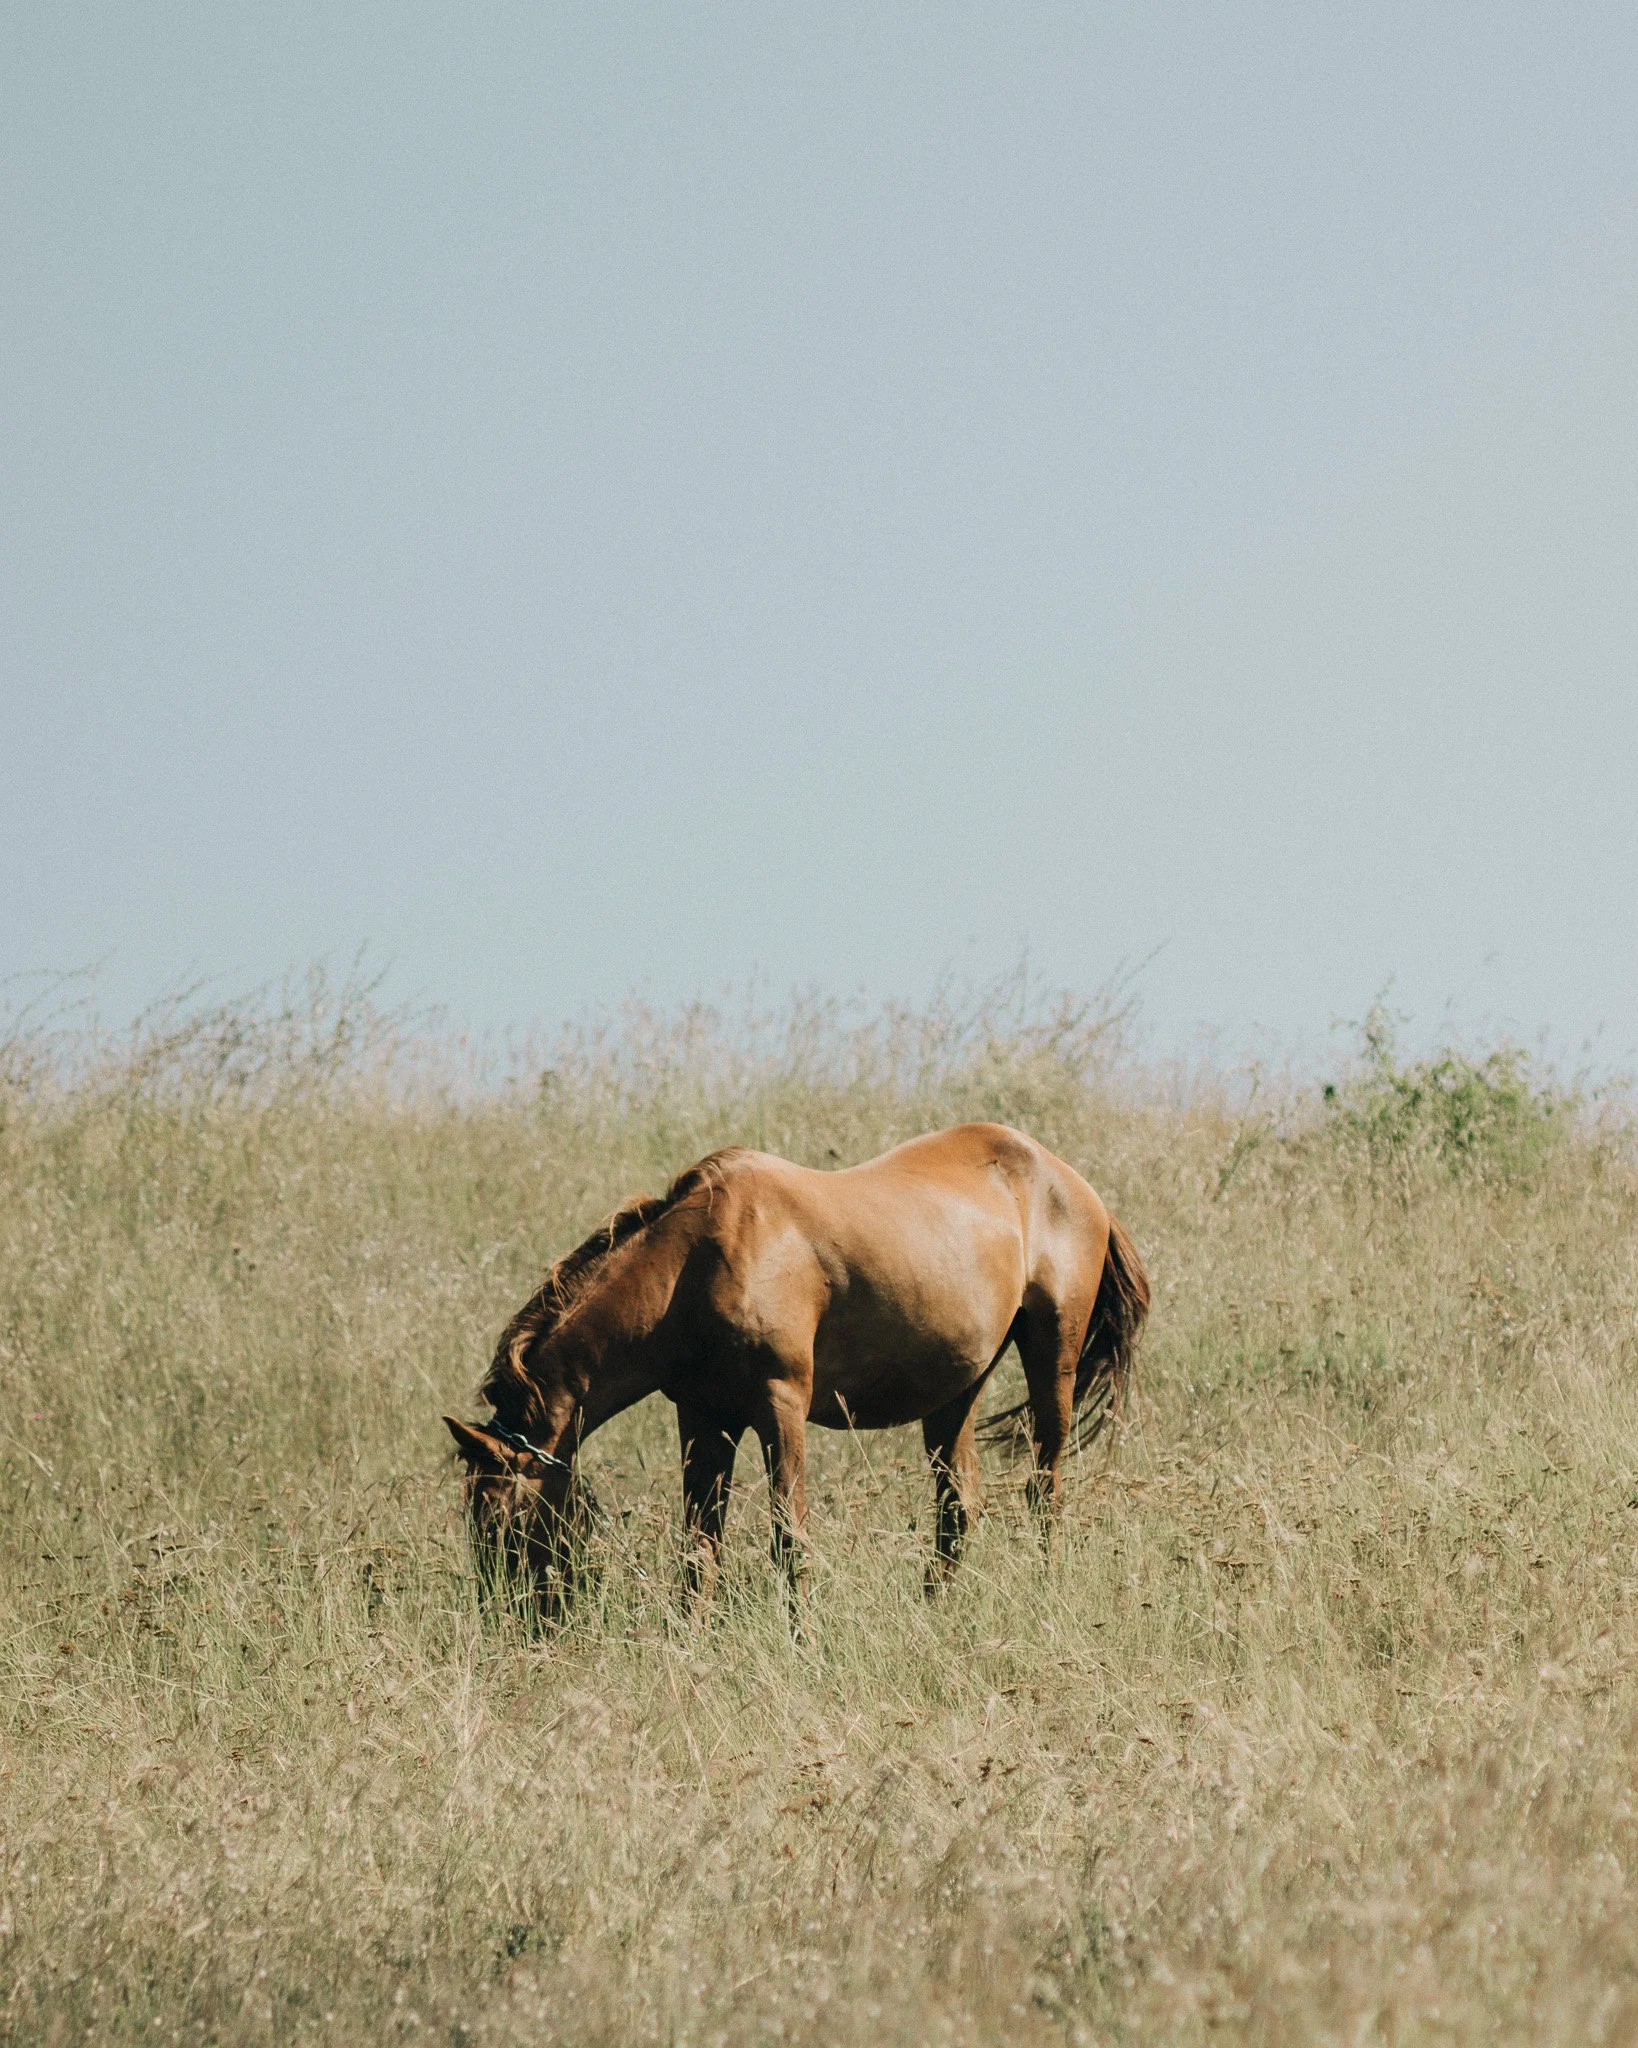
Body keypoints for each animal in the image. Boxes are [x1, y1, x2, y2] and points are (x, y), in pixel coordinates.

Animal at [444, 1121, 1149, 1614]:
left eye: (502, 1519)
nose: (511, 1619)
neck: (692, 1271)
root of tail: (1070, 1180)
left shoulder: (780, 1406)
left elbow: (790, 1536)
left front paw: (802, 1639)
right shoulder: (704, 1417)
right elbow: (701, 1541)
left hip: (1051, 1358)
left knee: (1044, 1485)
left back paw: (1046, 1585)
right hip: (956, 1390)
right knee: (958, 1506)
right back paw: (935, 1609)